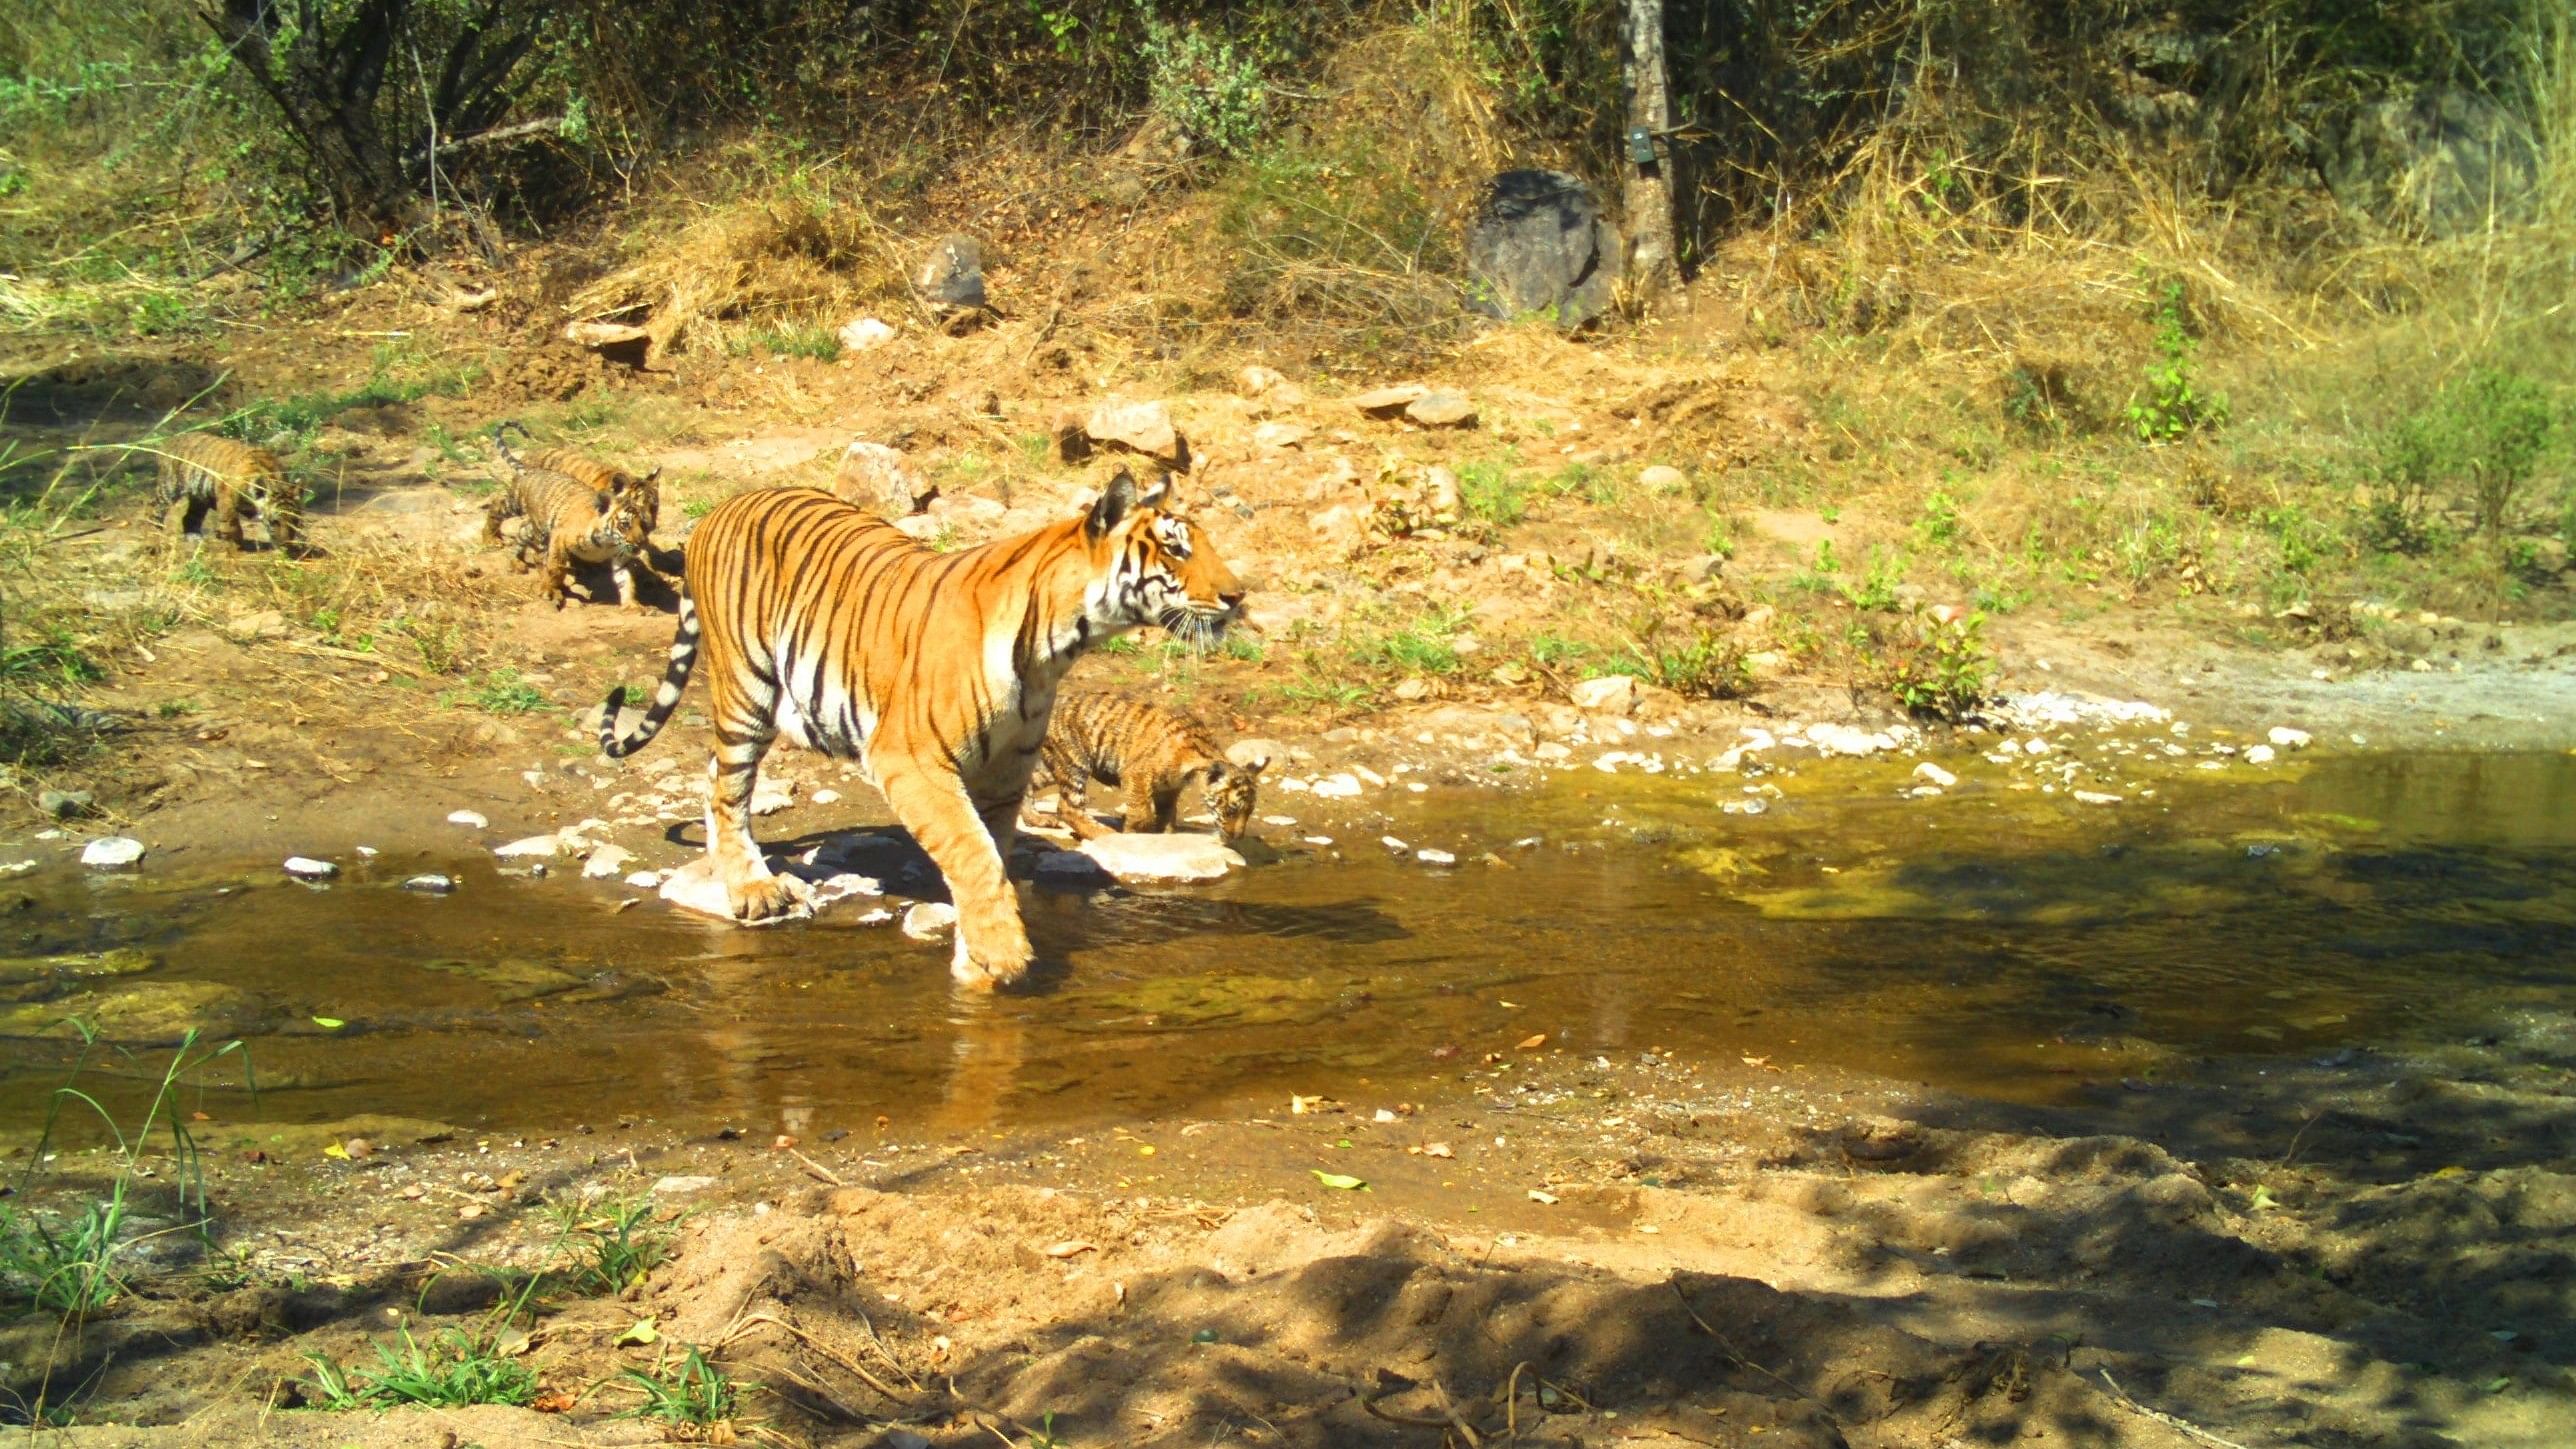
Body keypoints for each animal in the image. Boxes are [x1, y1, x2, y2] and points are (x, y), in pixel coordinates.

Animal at [153, 427, 303, 551]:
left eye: (295, 521)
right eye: (275, 522)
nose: (286, 545)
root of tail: (171, 439)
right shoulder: (226, 497)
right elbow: (231, 522)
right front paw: (235, 543)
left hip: (199, 498)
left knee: (190, 517)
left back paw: (194, 537)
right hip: (168, 487)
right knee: (155, 510)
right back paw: (154, 532)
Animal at [484, 425, 654, 611]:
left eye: (643, 524)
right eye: (624, 524)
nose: (640, 543)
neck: (608, 543)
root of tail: (533, 470)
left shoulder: (620, 557)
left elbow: (626, 581)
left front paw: (632, 605)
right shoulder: (560, 536)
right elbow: (556, 568)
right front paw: (550, 591)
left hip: (533, 523)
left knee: (522, 534)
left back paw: (517, 561)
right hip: (526, 514)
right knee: (499, 508)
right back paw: (490, 538)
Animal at [1025, 690, 1267, 840]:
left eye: (1249, 812)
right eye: (1232, 810)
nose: (1237, 837)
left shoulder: (1169, 789)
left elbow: (1168, 815)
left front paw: (1166, 835)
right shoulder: (1137, 774)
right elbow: (1142, 811)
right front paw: (1133, 833)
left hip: (1050, 764)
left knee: (1027, 785)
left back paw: (1038, 819)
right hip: (1074, 762)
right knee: (1068, 808)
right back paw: (1107, 836)